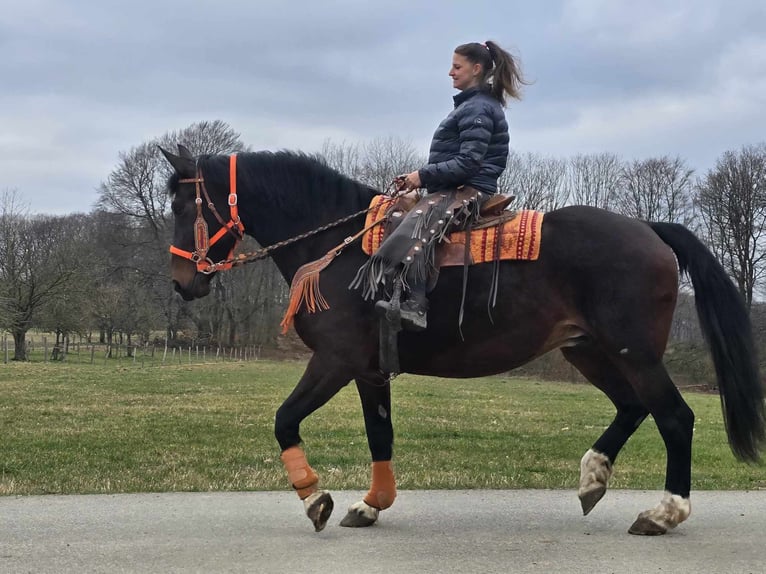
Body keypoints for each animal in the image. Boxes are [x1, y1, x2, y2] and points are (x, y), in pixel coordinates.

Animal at [159, 146, 764, 536]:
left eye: (182, 206)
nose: (183, 281)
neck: (341, 247)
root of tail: (649, 228)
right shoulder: (370, 369)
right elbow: (380, 435)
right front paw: (371, 504)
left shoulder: (334, 360)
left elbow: (285, 420)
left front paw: (316, 499)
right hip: (589, 350)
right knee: (633, 406)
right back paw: (593, 478)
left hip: (632, 352)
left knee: (675, 417)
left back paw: (664, 513)